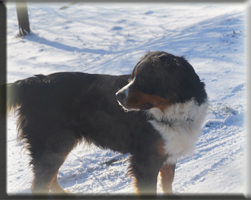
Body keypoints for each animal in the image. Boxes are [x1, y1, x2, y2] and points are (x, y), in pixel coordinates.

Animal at [3, 50, 208, 196]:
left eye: (143, 78)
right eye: (133, 76)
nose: (118, 96)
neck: (172, 111)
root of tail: (35, 81)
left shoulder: (168, 154)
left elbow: (167, 185)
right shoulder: (146, 161)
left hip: (57, 146)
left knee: (50, 178)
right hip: (53, 145)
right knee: (41, 182)